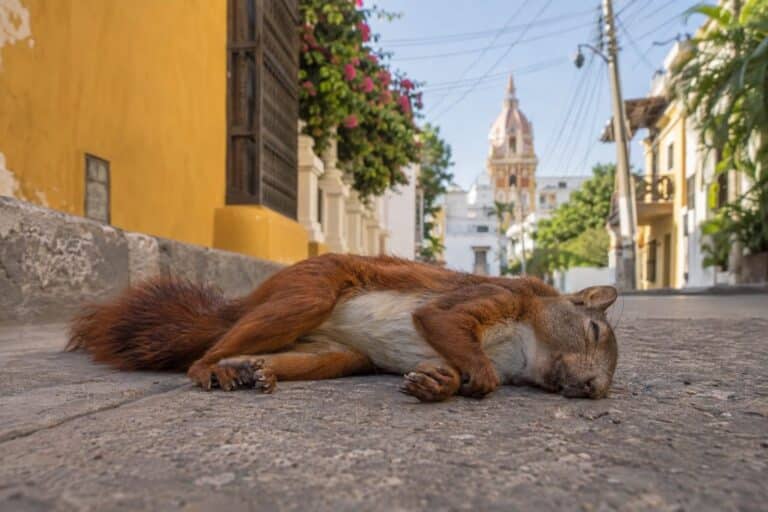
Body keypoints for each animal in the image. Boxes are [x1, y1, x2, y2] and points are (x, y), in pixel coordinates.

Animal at [68, 253, 619, 402]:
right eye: (594, 332)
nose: (593, 388)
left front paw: (437, 383)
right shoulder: (492, 299)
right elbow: (442, 321)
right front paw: (478, 380)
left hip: (335, 353)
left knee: (307, 358)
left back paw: (255, 370)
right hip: (309, 293)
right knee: (204, 355)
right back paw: (210, 368)